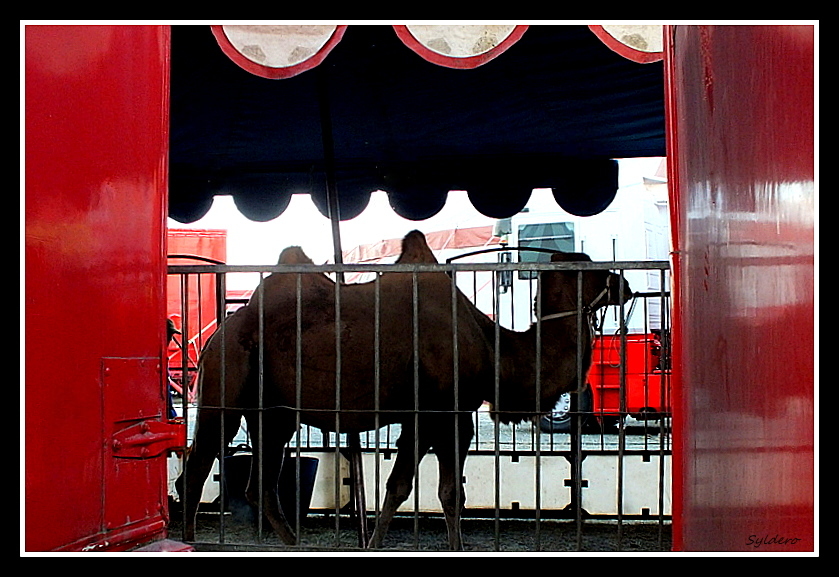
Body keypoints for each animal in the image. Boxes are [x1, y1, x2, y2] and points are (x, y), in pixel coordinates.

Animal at [179, 228, 636, 548]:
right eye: (592, 265)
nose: (625, 284)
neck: (492, 347)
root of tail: (220, 332)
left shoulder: (432, 417)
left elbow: (412, 489)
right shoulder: (442, 412)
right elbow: (436, 491)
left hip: (274, 413)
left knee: (261, 483)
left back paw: (291, 544)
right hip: (225, 385)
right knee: (198, 467)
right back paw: (190, 539)